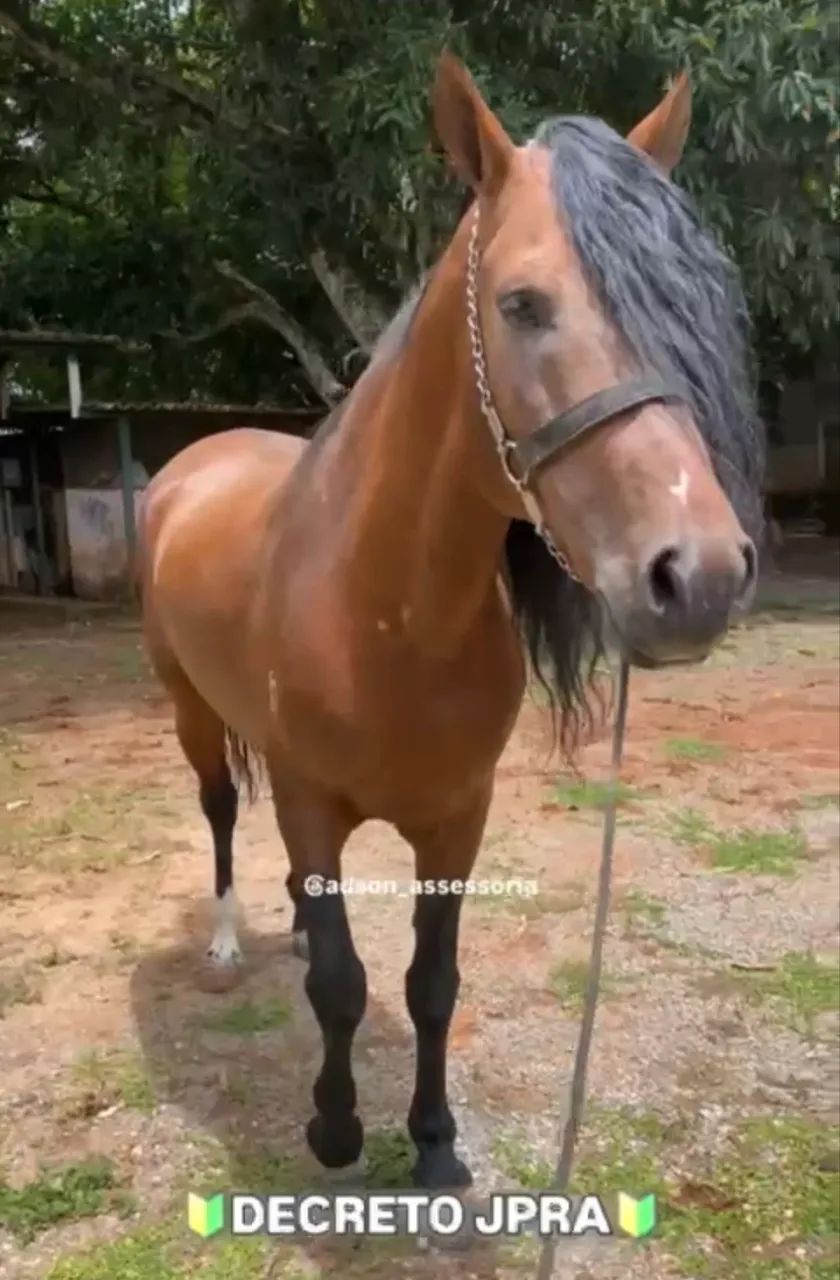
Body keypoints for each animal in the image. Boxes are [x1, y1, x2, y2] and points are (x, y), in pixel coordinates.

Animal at [138, 54, 763, 1189]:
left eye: (694, 302)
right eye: (522, 304)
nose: (695, 575)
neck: (388, 613)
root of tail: (197, 458)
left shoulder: (458, 819)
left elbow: (433, 979)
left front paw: (433, 1139)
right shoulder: (311, 802)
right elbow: (343, 986)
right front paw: (336, 1130)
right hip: (190, 710)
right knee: (218, 810)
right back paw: (228, 940)